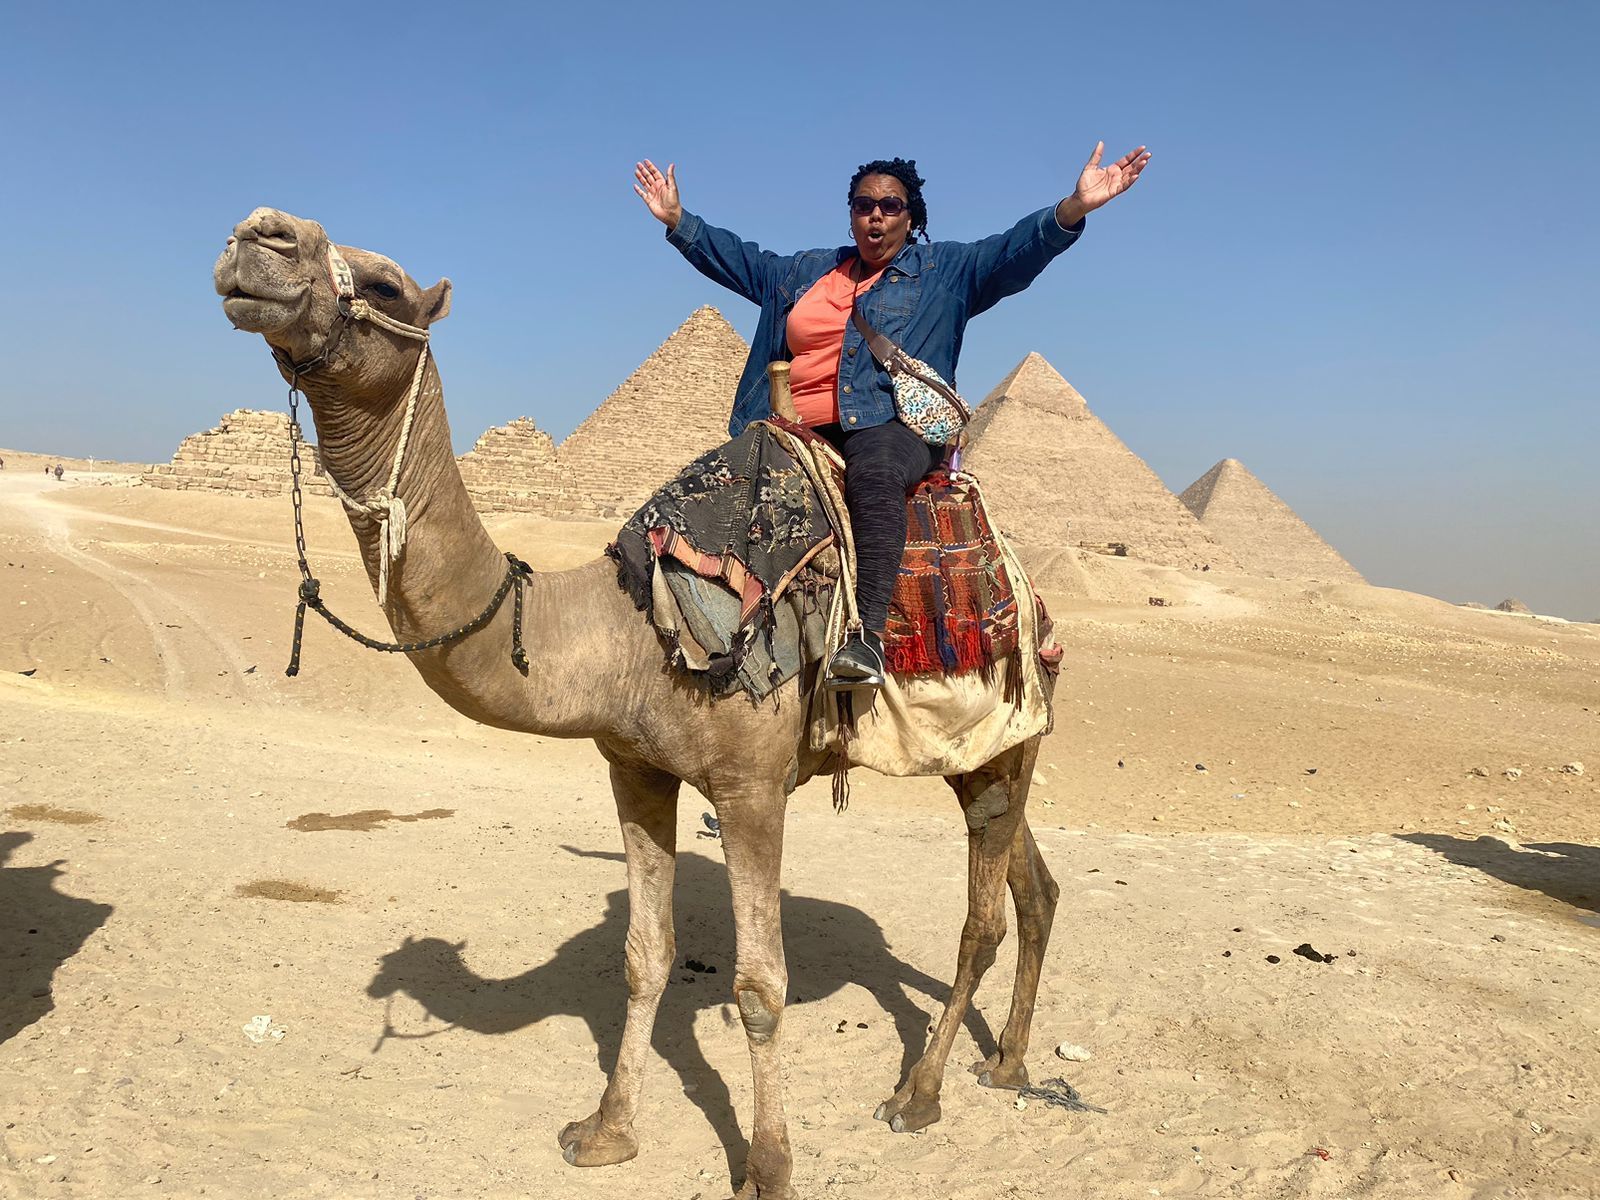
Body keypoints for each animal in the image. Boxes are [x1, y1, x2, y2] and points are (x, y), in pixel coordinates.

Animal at [215, 207, 1063, 1200]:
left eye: (386, 285)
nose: (259, 235)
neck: (621, 628)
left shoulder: (749, 786)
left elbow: (760, 986)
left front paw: (768, 1166)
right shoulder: (637, 771)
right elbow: (643, 957)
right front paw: (607, 1131)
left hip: (1003, 736)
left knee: (982, 920)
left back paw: (919, 1094)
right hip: (989, 752)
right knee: (1033, 889)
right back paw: (1005, 1061)